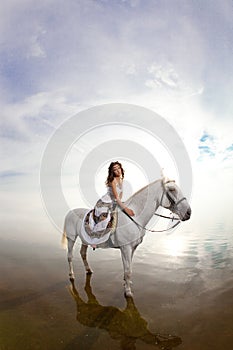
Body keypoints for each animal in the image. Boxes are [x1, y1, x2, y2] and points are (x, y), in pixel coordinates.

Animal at [62, 179, 191, 296]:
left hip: (85, 240)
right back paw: (71, 276)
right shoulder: (126, 248)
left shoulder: (131, 248)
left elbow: (127, 268)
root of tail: (69, 212)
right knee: (69, 257)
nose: (188, 213)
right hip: (71, 239)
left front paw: (126, 284)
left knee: (83, 253)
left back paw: (88, 270)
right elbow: (128, 270)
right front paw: (128, 292)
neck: (135, 217)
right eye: (172, 189)